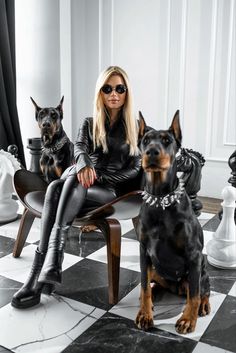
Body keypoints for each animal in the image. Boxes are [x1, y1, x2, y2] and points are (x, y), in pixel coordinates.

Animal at [135, 111, 210, 334]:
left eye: (167, 141)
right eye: (145, 140)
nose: (151, 152)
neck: (161, 199)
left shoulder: (193, 254)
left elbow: (194, 294)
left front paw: (187, 319)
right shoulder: (144, 250)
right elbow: (143, 286)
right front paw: (145, 313)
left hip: (201, 265)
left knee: (203, 289)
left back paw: (203, 305)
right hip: (155, 269)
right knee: (151, 284)